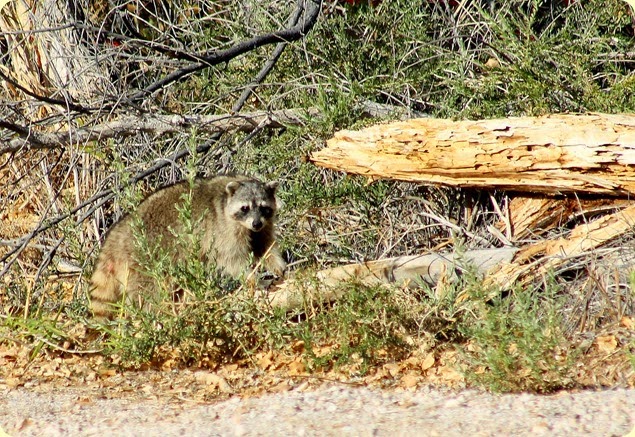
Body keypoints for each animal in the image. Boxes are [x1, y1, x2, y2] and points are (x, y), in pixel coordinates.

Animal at [89, 174, 286, 319]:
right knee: (149, 292)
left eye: (264, 207)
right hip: (143, 260)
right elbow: (230, 259)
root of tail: (116, 237)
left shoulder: (263, 226)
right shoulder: (223, 229)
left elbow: (264, 246)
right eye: (245, 208)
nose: (256, 223)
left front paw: (278, 266)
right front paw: (251, 277)